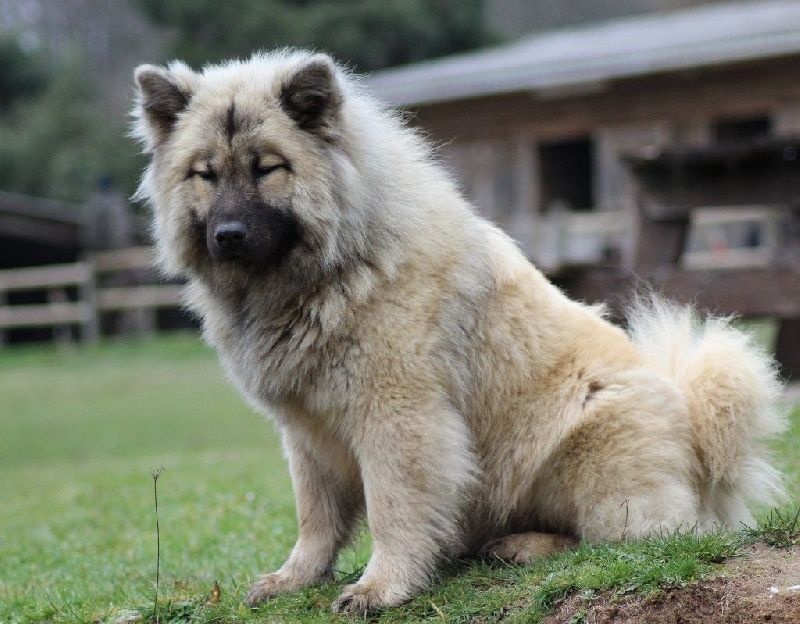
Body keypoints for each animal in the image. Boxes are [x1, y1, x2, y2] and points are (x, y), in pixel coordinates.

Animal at [132, 50, 786, 613]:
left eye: (268, 168)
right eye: (205, 174)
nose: (229, 235)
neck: (334, 268)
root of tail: (697, 430)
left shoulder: (398, 417)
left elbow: (394, 508)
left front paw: (381, 588)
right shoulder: (307, 431)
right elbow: (315, 518)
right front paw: (296, 578)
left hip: (589, 444)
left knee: (637, 537)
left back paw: (526, 546)